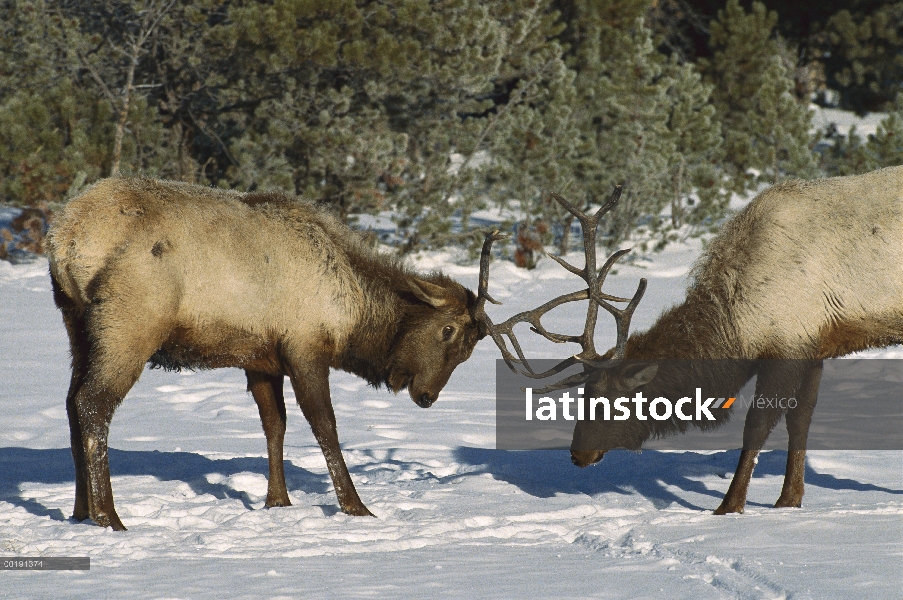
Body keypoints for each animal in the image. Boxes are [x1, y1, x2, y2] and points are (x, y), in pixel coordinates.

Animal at [47, 177, 488, 528]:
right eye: (447, 331)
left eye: (467, 354)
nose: (427, 396)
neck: (353, 313)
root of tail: (65, 239)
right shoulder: (305, 347)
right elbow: (325, 426)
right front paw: (356, 506)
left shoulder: (261, 359)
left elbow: (275, 425)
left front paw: (277, 501)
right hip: (129, 323)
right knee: (93, 402)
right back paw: (109, 516)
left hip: (76, 324)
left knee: (70, 403)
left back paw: (80, 511)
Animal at [476, 166, 900, 512]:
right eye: (583, 396)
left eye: (610, 401)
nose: (578, 455)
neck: (736, 320)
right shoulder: (814, 342)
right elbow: (801, 420)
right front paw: (789, 500)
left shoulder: (786, 342)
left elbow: (757, 425)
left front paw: (729, 506)